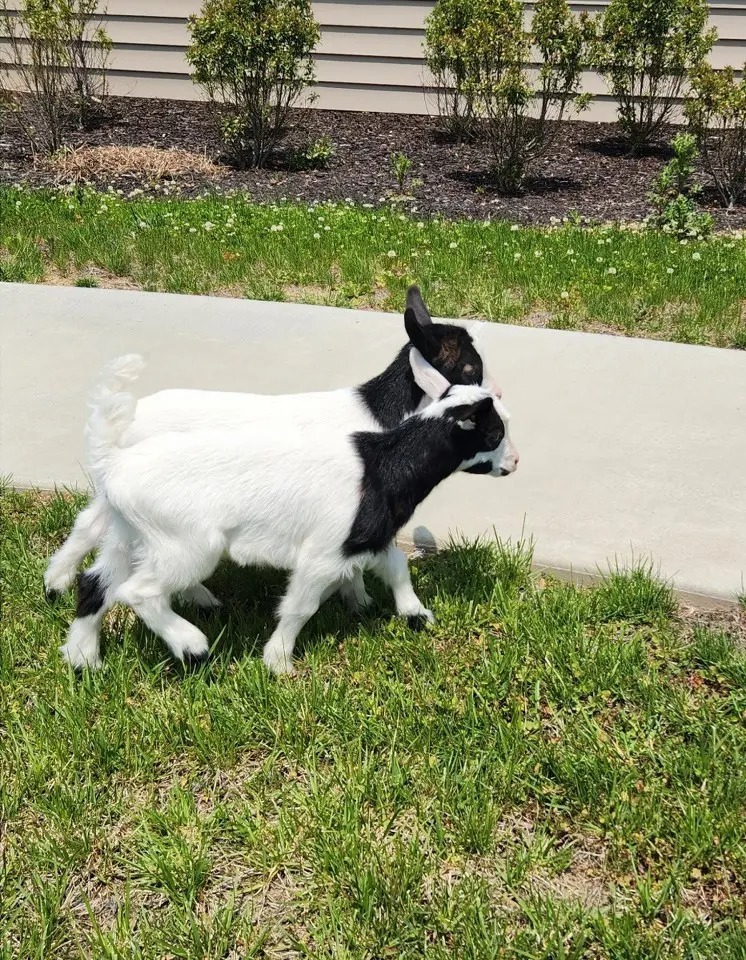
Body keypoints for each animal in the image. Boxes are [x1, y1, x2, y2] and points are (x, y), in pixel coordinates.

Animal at [45, 286, 502, 614]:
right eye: (470, 368)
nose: (495, 398)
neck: (384, 414)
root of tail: (128, 421)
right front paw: (358, 600)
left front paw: (358, 601)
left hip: (118, 497)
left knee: (89, 524)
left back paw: (56, 583)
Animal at [61, 349, 518, 675]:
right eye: (495, 432)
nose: (514, 463)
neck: (384, 463)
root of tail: (115, 463)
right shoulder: (324, 553)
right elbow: (300, 606)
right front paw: (279, 662)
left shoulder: (365, 535)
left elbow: (397, 566)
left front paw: (415, 614)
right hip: (187, 543)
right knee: (137, 592)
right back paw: (191, 645)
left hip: (130, 533)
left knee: (95, 583)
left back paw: (84, 659)